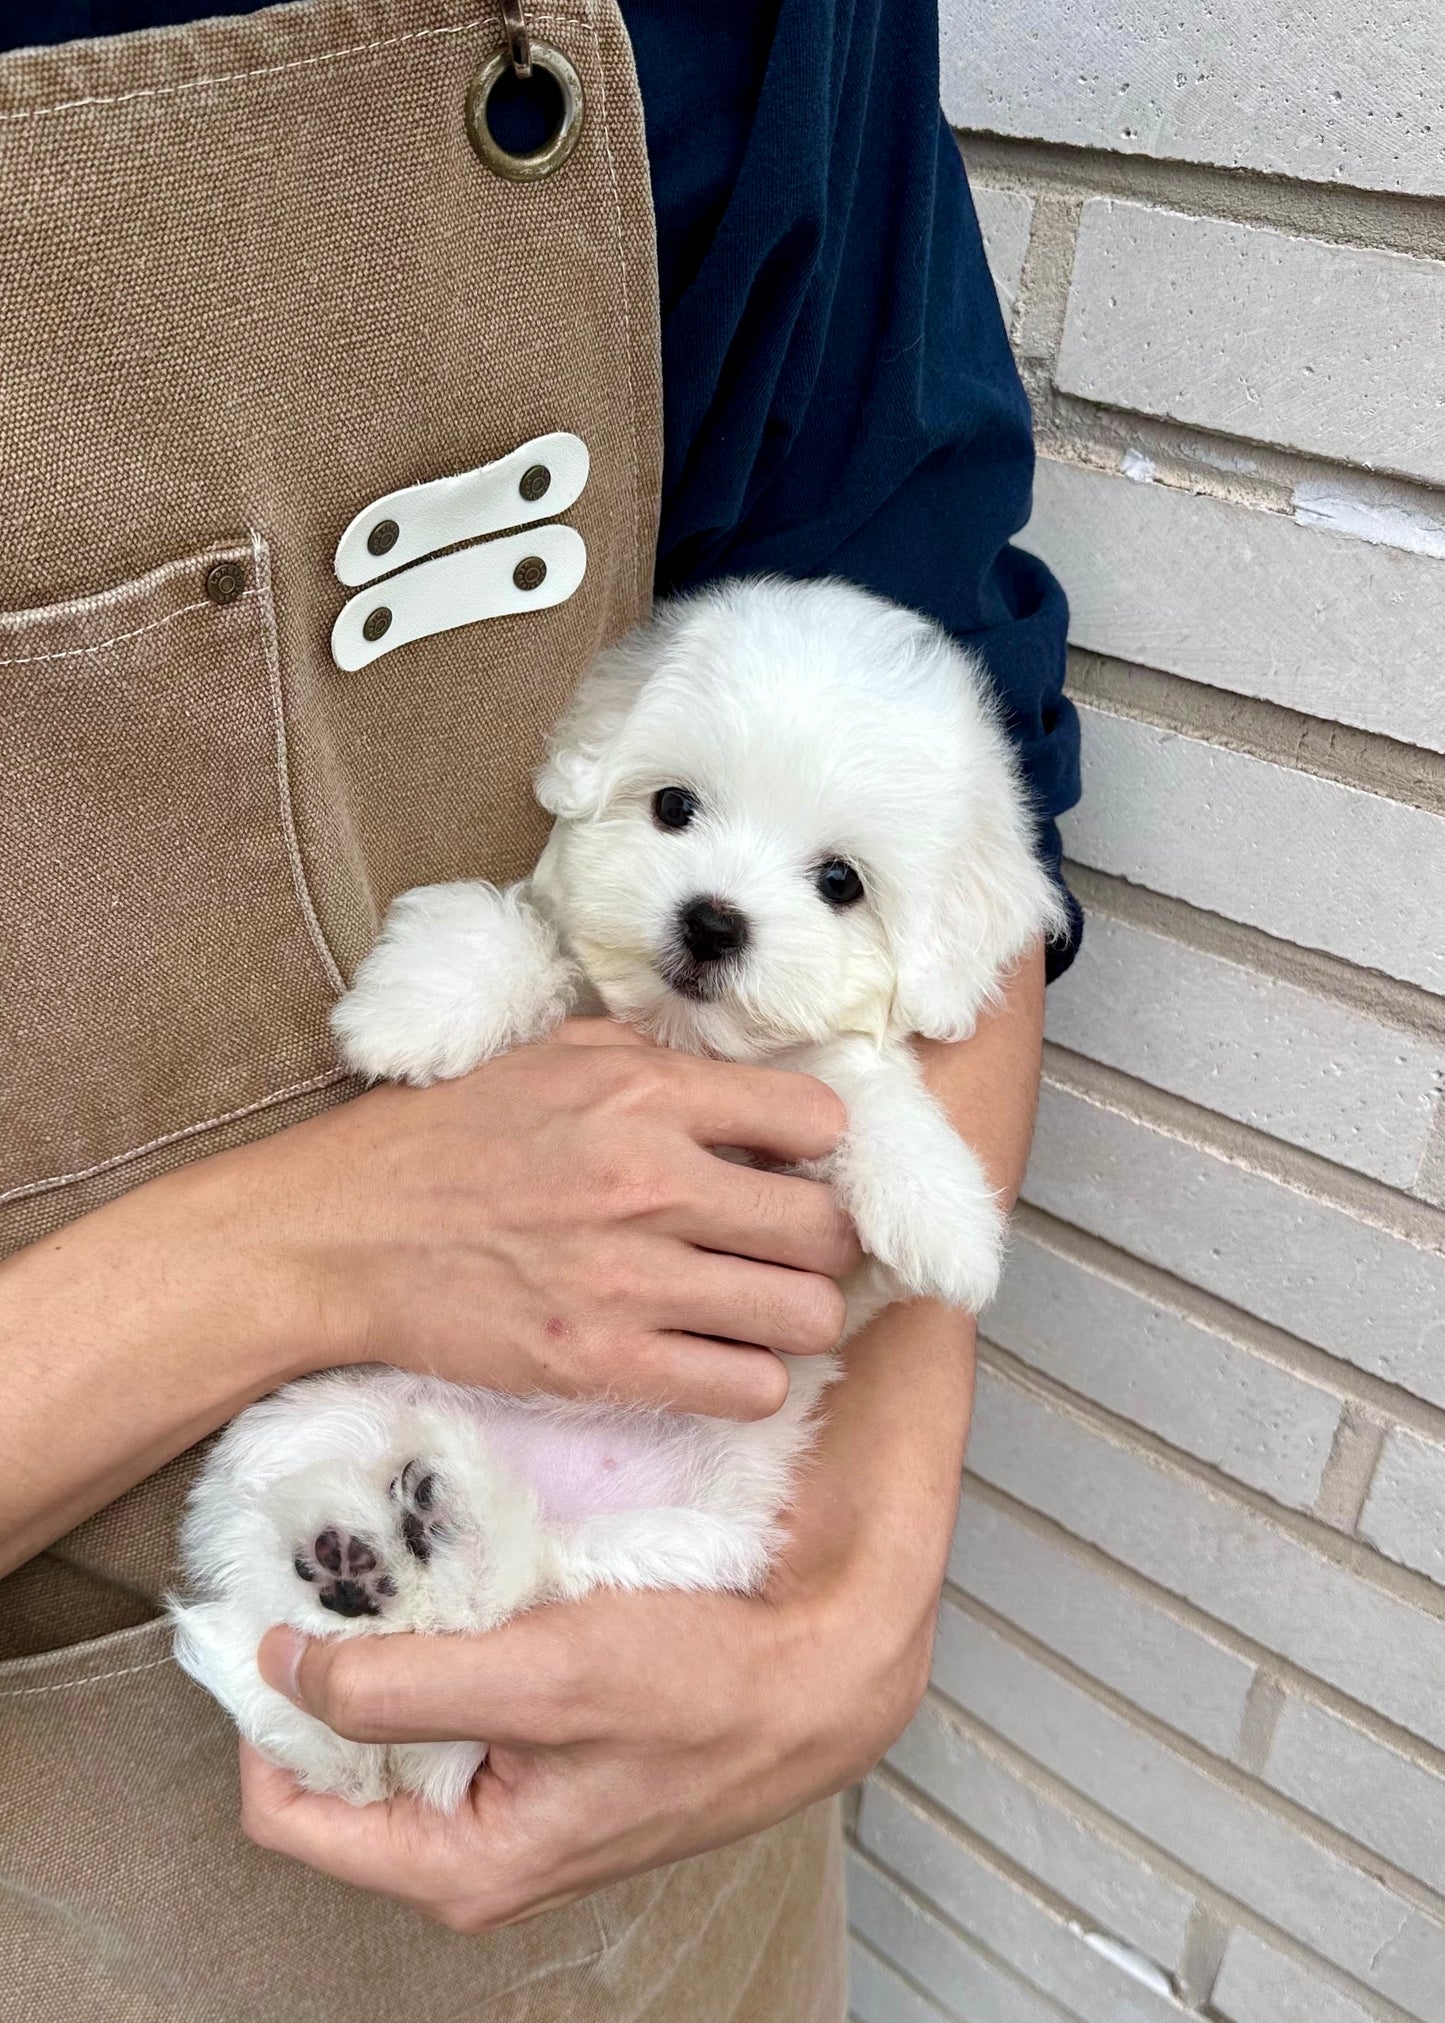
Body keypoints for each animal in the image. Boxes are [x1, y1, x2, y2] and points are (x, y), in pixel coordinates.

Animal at [174, 578, 1060, 1812]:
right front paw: (414, 1008)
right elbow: (510, 930)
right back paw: (380, 1551)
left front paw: (941, 1212)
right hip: (308, 1416)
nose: (711, 919)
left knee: (508, 1592)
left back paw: (425, 1538)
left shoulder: (829, 1230)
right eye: (673, 806)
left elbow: (856, 1089)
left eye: (840, 882)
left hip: (673, 1550)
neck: (677, 1040)